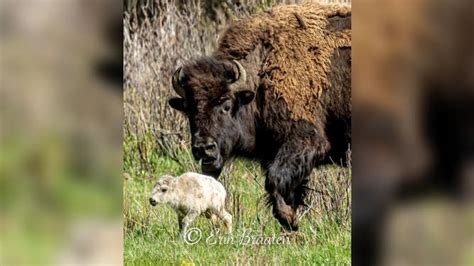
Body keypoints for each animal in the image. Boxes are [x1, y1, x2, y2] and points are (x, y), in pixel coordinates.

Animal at [168, 3, 350, 230]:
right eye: (189, 110)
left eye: (227, 105)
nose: (204, 148)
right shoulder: (274, 153)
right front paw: (290, 222)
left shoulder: (306, 141)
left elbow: (274, 180)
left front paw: (288, 218)